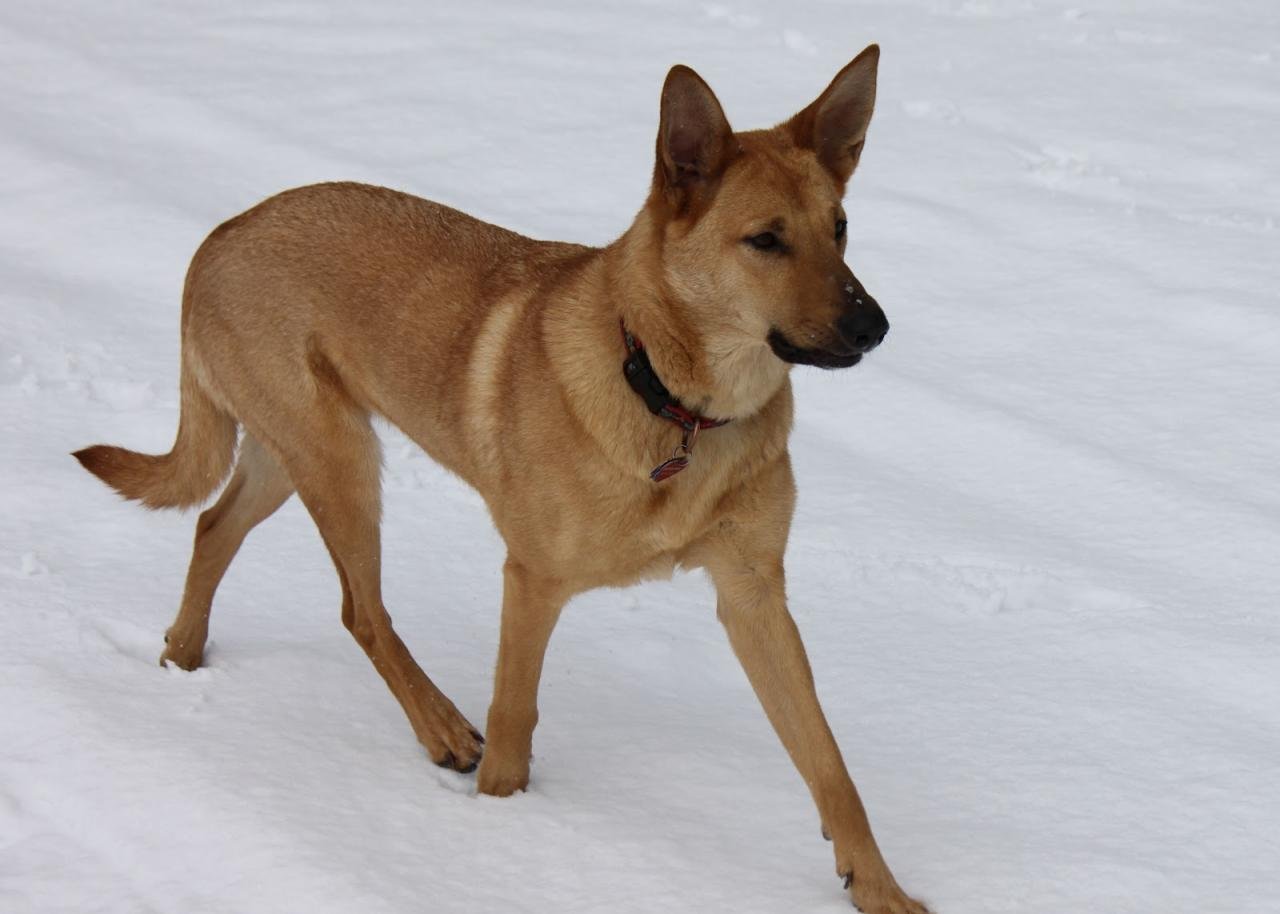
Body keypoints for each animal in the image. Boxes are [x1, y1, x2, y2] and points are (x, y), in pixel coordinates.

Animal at [74, 46, 926, 906]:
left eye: (840, 229)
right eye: (765, 240)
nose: (874, 326)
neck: (676, 403)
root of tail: (220, 234)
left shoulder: (753, 595)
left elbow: (828, 762)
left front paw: (879, 889)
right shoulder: (534, 581)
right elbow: (514, 726)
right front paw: (499, 838)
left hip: (291, 454)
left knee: (213, 526)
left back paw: (182, 656)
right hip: (338, 461)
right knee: (360, 610)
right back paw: (442, 730)